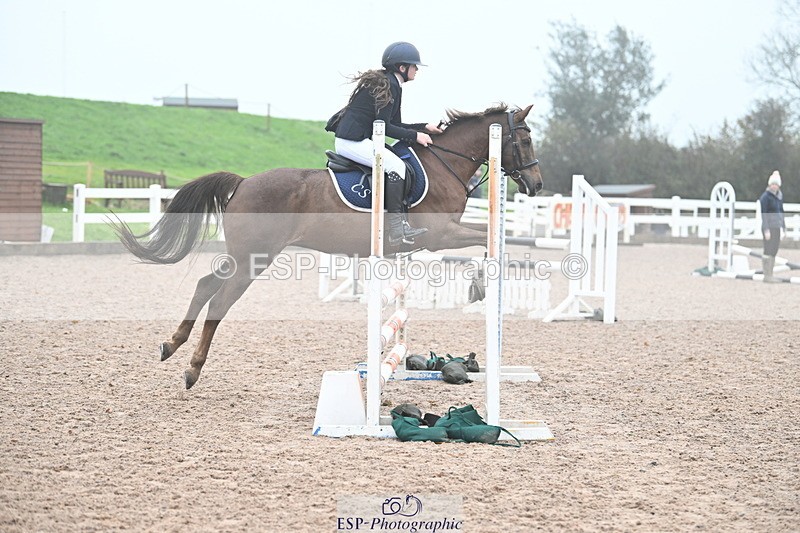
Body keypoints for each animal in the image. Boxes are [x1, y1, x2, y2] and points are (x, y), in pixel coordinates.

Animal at [115, 103, 543, 389]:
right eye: (524, 138)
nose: (537, 185)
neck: (443, 165)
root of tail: (243, 182)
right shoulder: (441, 236)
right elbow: (487, 238)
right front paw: (479, 285)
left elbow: (489, 237)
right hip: (254, 259)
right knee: (220, 301)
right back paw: (192, 369)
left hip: (243, 255)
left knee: (206, 285)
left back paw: (171, 345)